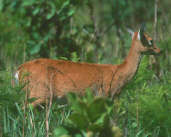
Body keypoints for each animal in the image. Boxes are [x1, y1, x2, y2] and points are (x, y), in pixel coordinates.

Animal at [14, 23, 160, 107]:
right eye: (151, 41)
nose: (160, 50)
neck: (119, 72)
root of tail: (19, 70)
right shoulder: (104, 95)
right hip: (38, 93)